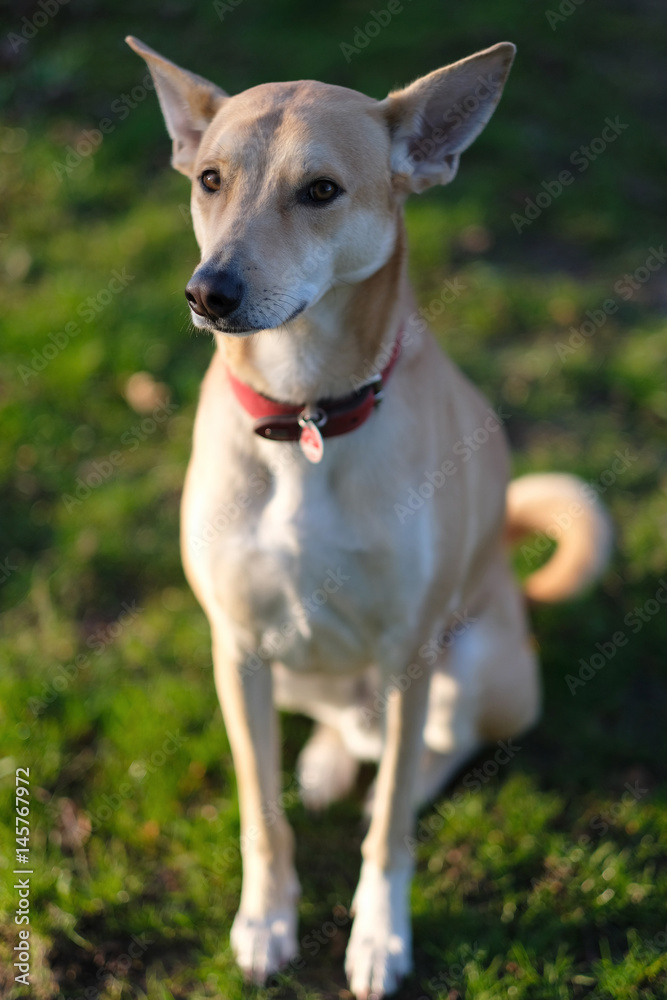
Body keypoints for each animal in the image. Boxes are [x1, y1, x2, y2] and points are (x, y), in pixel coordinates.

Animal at [128, 35, 612, 996]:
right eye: (209, 180)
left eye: (320, 190)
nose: (208, 292)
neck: (304, 413)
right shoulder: (236, 649)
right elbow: (260, 813)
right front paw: (265, 921)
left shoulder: (407, 654)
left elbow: (389, 823)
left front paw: (379, 937)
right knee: (338, 733)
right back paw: (321, 763)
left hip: (479, 662)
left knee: (429, 753)